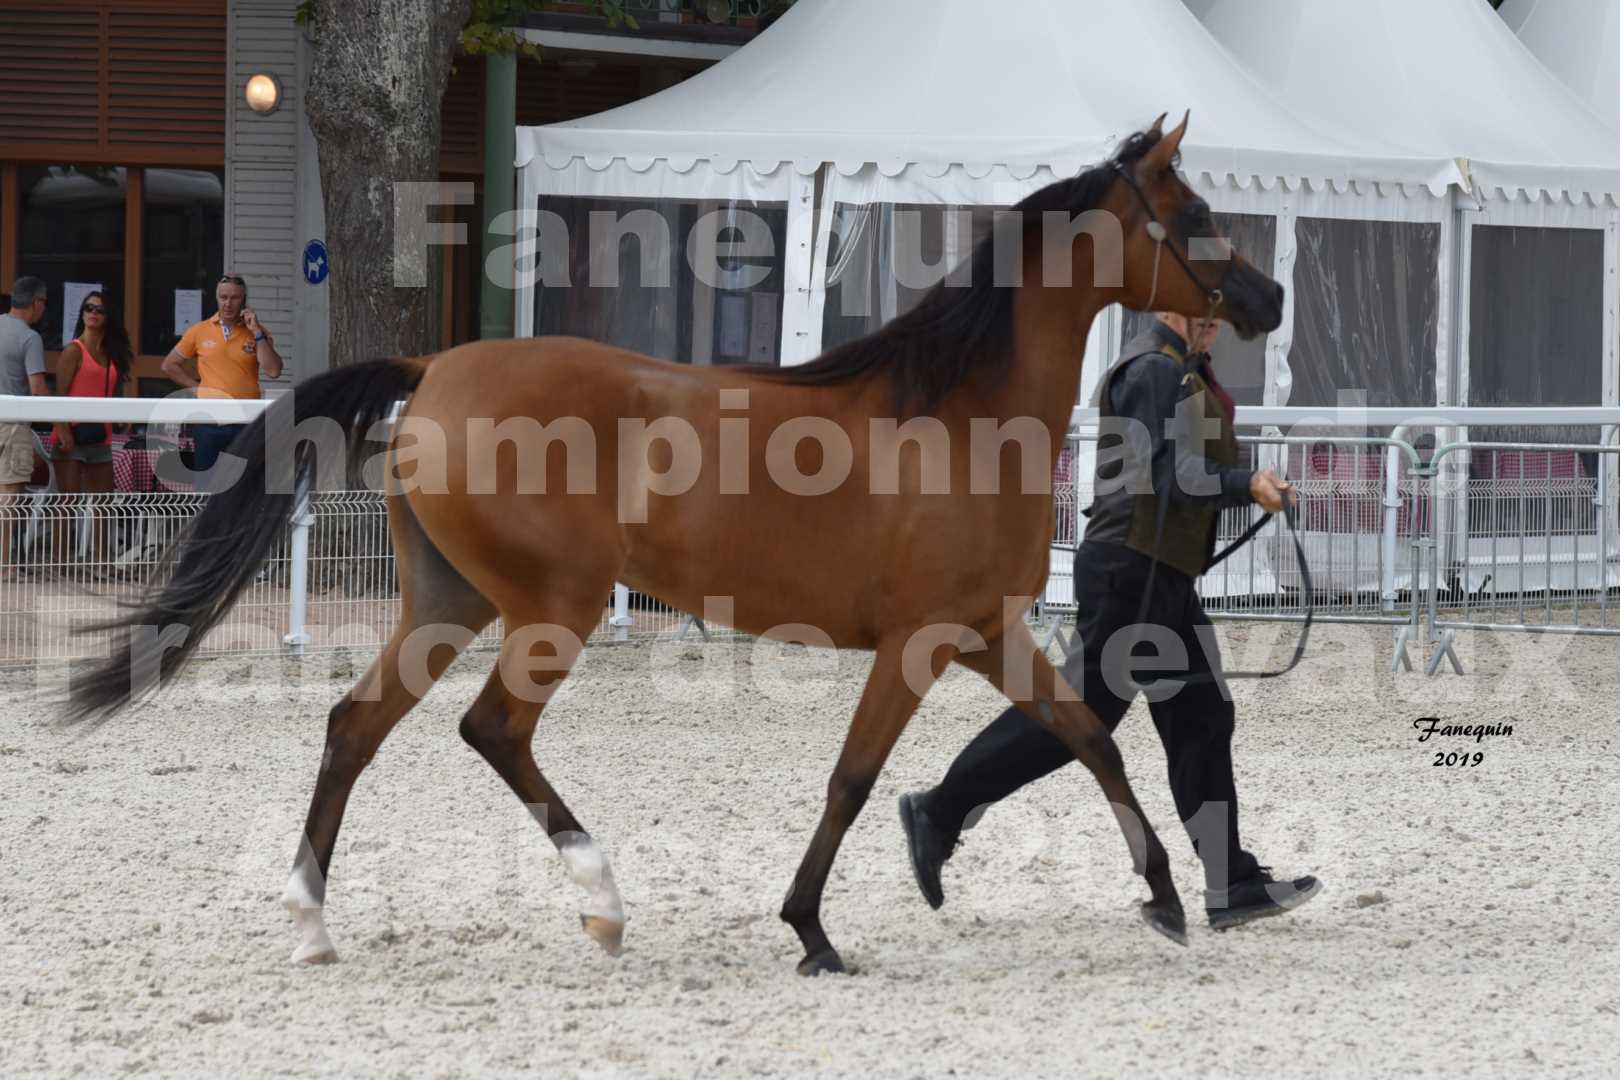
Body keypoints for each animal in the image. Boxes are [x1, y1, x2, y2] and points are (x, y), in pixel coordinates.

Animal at [63, 114, 1283, 977]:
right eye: (1193, 210)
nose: (1265, 297)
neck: (960, 414)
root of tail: (434, 369)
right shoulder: (918, 642)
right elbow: (854, 776)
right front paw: (812, 930)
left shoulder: (987, 630)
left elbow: (1087, 738)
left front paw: (1165, 898)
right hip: (551, 608)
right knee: (489, 730)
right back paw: (602, 906)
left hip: (449, 602)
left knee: (354, 726)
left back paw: (315, 926)